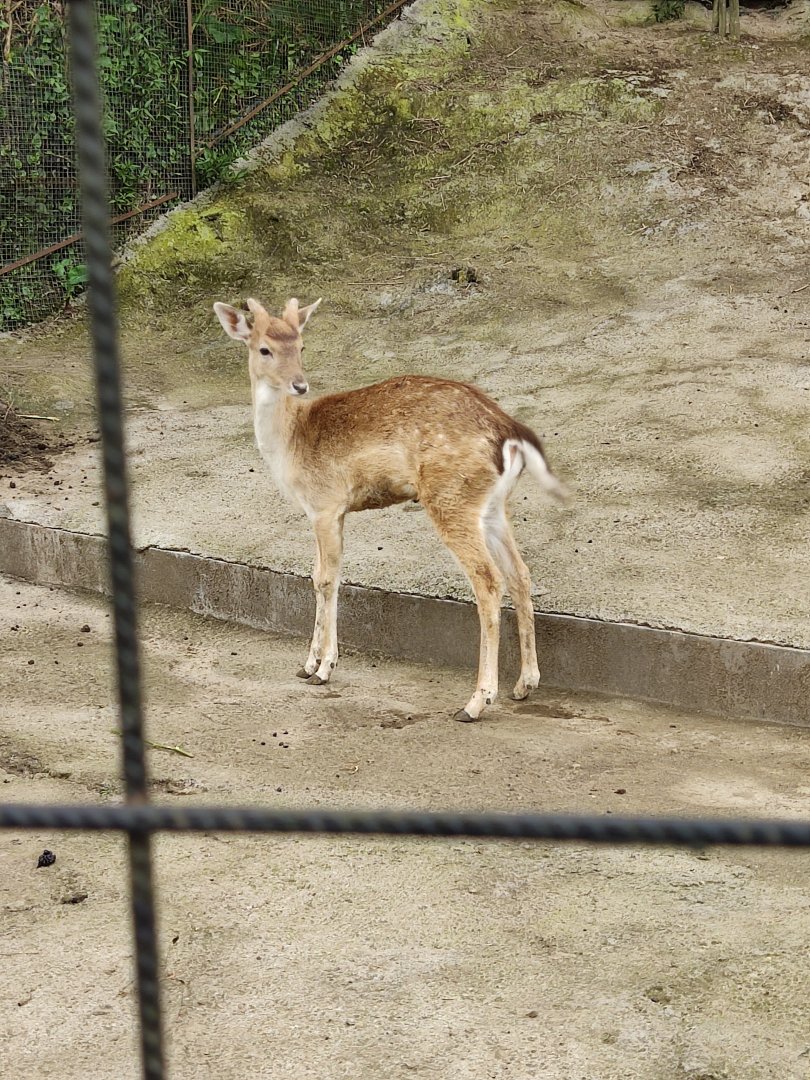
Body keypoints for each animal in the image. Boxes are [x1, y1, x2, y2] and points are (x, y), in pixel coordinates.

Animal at [214, 296, 567, 722]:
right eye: (265, 348)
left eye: (301, 346)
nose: (300, 384)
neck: (290, 442)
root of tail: (510, 432)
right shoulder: (321, 510)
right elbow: (316, 575)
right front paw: (306, 665)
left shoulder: (327, 504)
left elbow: (327, 579)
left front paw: (324, 669)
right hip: (494, 506)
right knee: (520, 574)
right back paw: (525, 685)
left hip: (451, 497)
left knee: (488, 580)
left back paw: (475, 702)